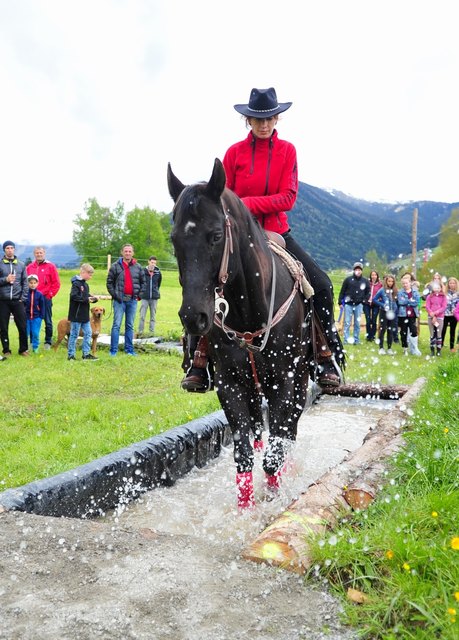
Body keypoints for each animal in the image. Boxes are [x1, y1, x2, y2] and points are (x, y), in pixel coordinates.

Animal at [167, 158, 312, 509]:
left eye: (216, 235)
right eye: (174, 240)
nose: (193, 317)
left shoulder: (283, 382)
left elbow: (275, 453)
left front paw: (273, 500)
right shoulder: (229, 384)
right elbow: (244, 455)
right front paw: (244, 512)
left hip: (301, 379)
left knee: (288, 434)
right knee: (260, 435)